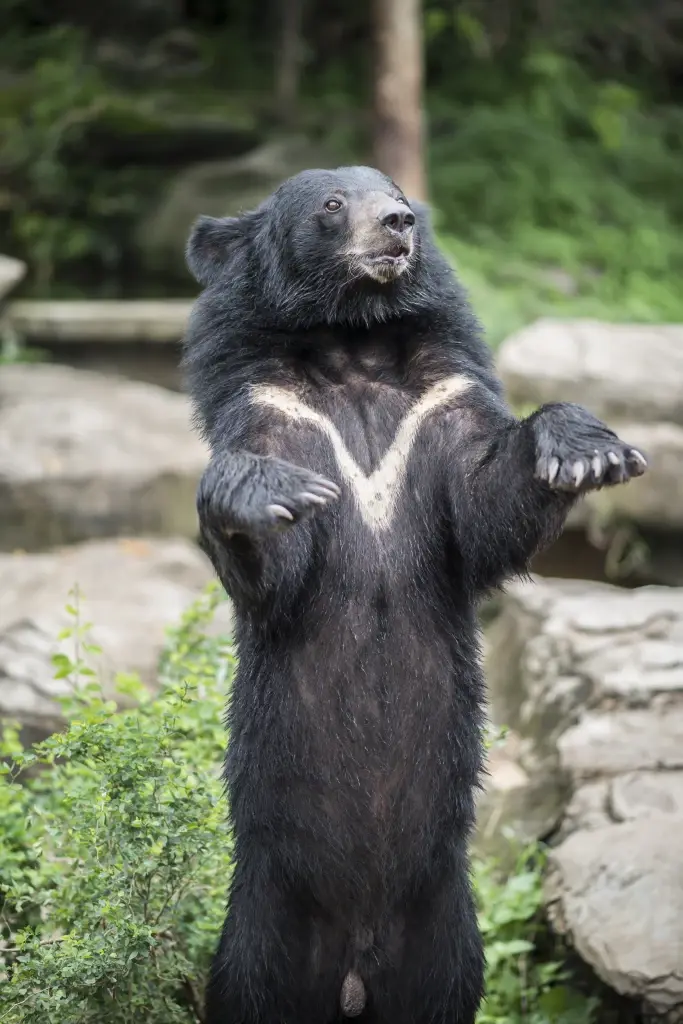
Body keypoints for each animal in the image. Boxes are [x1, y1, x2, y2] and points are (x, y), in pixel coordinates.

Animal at [181, 165, 647, 1024]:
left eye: (393, 193)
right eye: (333, 204)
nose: (397, 224)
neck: (353, 347)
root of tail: (355, 971)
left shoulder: (441, 399)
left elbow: (482, 503)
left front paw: (585, 451)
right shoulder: (271, 407)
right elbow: (278, 563)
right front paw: (260, 492)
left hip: (449, 937)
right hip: (263, 924)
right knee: (248, 992)